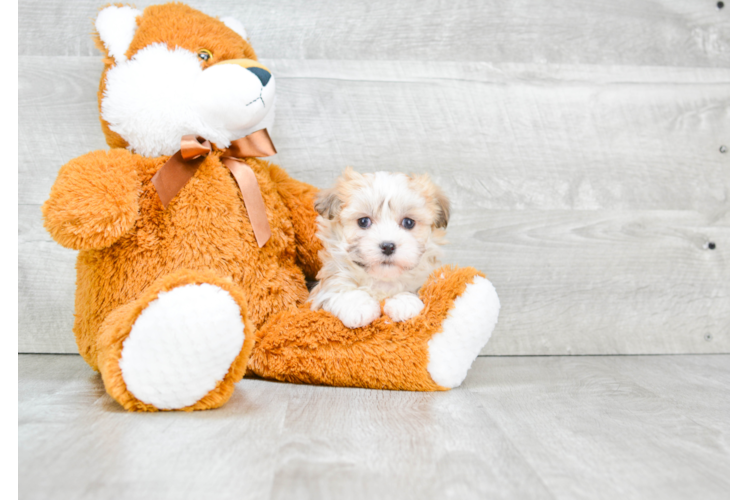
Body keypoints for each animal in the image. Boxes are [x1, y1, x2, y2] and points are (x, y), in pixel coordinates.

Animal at [310, 168, 450, 330]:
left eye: (408, 222)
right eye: (363, 221)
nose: (388, 246)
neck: (382, 281)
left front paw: (404, 302)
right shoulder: (327, 285)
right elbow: (340, 290)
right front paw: (358, 307)